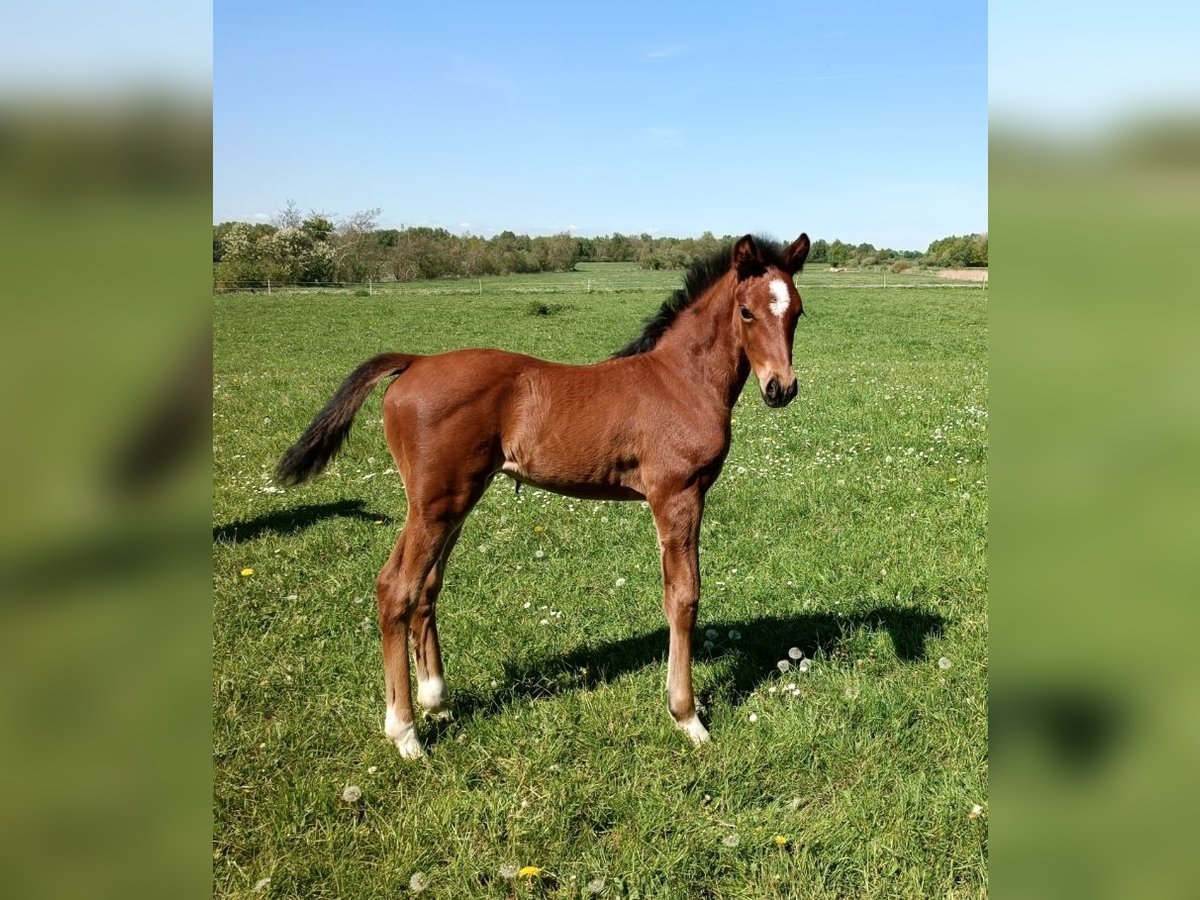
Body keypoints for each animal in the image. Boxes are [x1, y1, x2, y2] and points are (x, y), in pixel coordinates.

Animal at [276, 230, 811, 753]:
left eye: (798, 311)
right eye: (746, 311)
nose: (781, 389)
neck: (681, 380)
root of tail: (415, 362)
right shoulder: (677, 495)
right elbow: (683, 597)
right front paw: (687, 716)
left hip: (455, 502)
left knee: (426, 587)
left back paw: (437, 701)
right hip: (434, 504)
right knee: (396, 588)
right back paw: (405, 733)